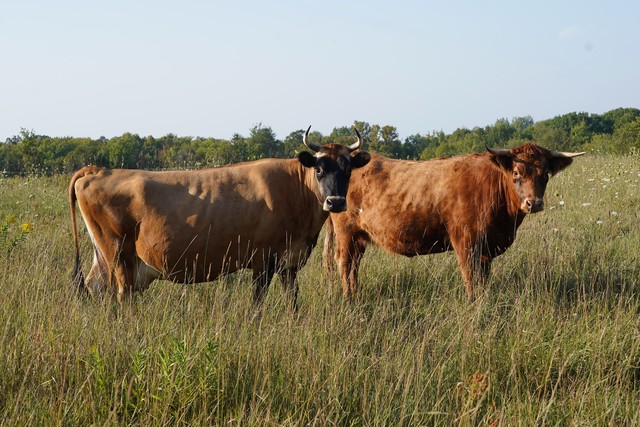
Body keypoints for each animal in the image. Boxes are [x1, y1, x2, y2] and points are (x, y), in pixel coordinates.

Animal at [69, 126, 371, 310]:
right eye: (319, 169)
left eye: (348, 170)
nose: (335, 201)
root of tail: (98, 169)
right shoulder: (262, 261)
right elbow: (257, 304)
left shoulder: (290, 263)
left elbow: (293, 302)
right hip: (119, 254)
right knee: (122, 295)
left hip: (104, 257)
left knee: (96, 288)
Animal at [323, 143, 584, 301]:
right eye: (516, 173)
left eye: (545, 174)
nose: (534, 203)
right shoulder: (466, 241)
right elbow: (470, 277)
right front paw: (473, 304)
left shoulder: (486, 249)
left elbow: (482, 279)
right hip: (346, 232)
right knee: (344, 264)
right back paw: (349, 298)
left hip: (359, 237)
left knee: (353, 266)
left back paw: (355, 294)